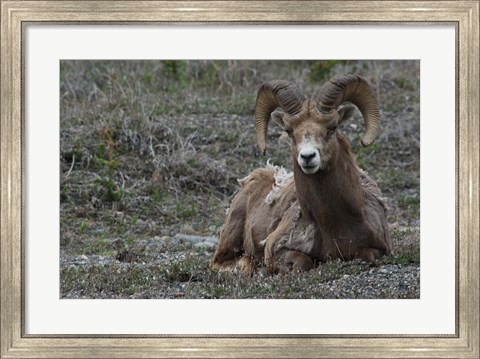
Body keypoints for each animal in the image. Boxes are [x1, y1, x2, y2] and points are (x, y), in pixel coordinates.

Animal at [212, 74, 392, 274]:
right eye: (289, 131)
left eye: (332, 127)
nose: (307, 157)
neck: (335, 224)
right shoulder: (275, 249)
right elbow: (302, 262)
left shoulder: (381, 249)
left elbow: (366, 256)